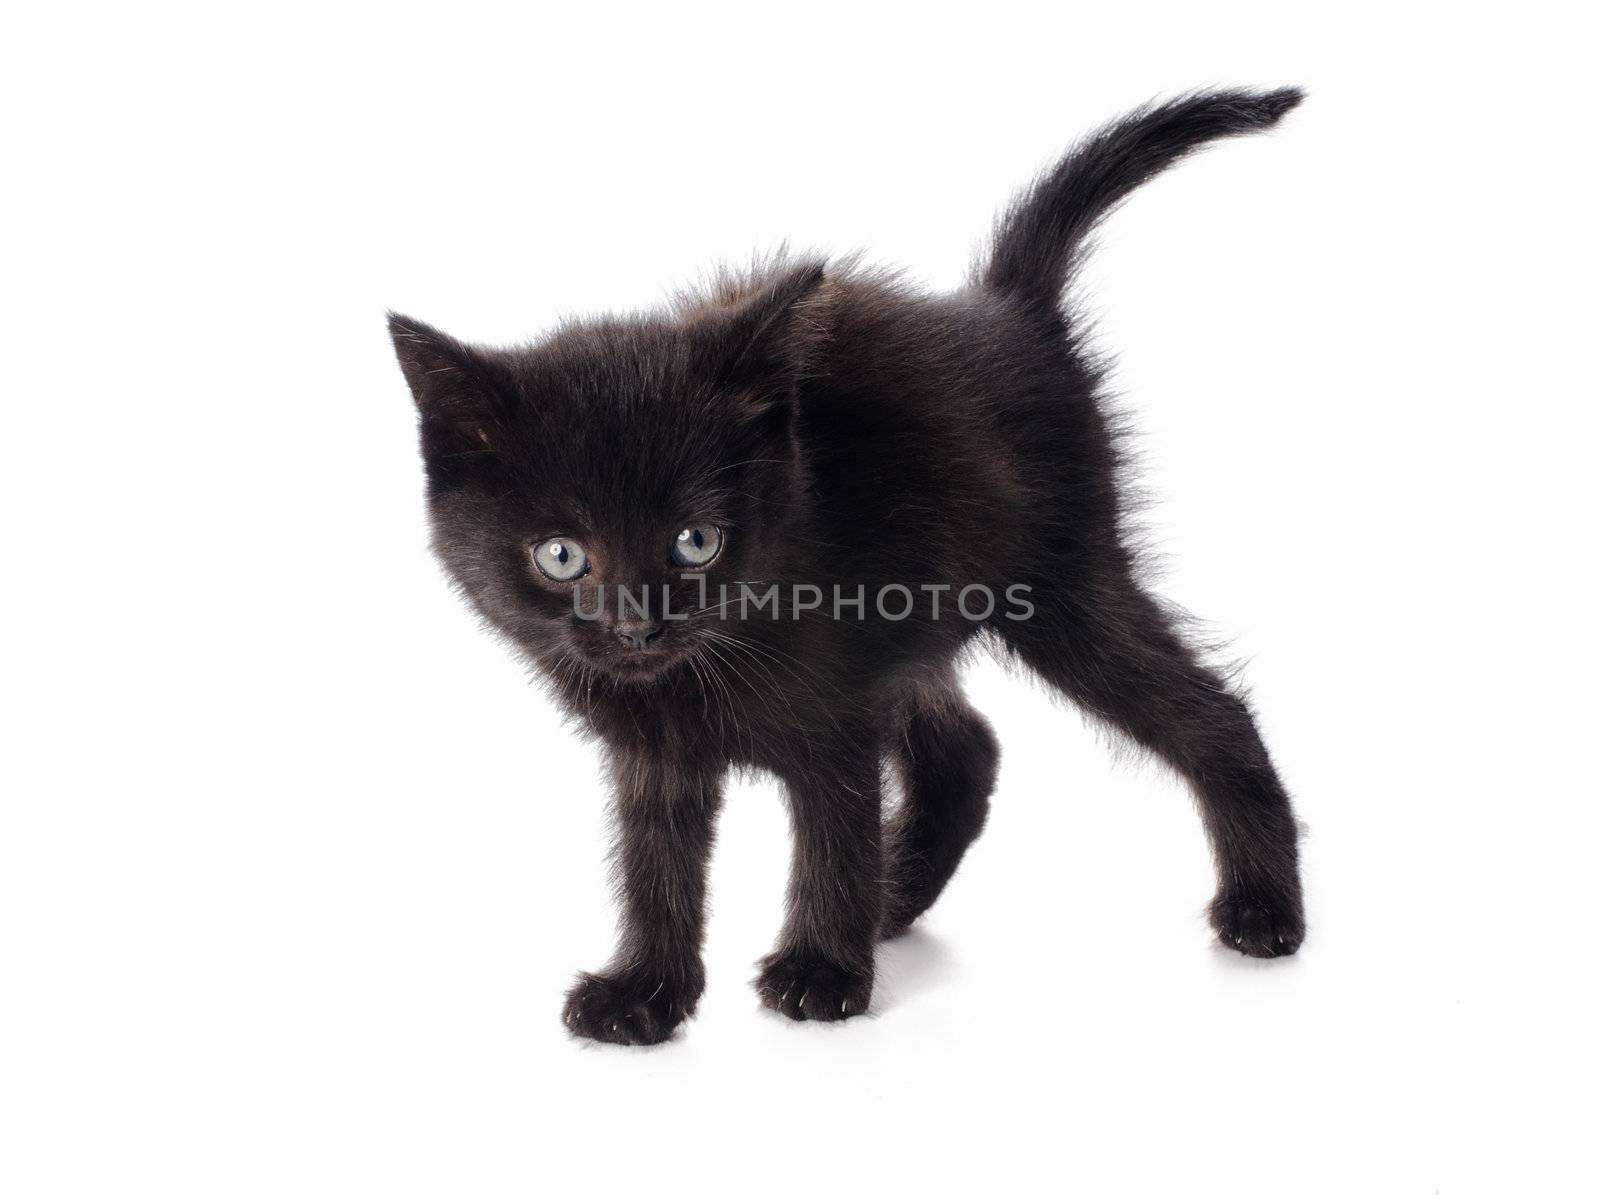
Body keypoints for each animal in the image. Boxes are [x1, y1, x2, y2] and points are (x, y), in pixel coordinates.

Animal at [390, 88, 1312, 1043]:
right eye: (562, 554)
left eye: (695, 541)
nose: (636, 624)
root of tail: (1006, 310)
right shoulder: (661, 751)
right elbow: (655, 864)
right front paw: (645, 991)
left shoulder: (835, 710)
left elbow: (834, 833)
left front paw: (821, 971)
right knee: (963, 748)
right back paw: (894, 898)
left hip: (1059, 585)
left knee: (1207, 711)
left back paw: (1264, 907)